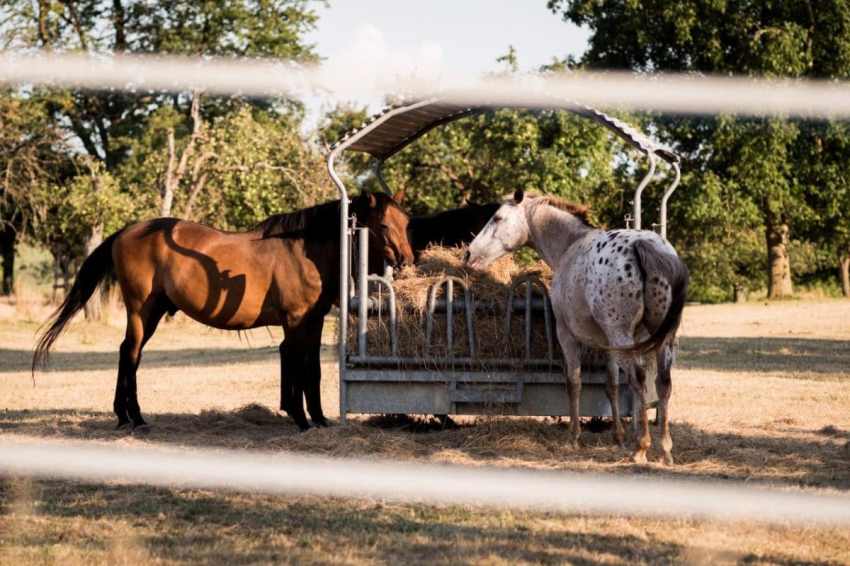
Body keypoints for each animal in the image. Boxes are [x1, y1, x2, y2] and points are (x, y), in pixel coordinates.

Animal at [32, 190, 414, 432]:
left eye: (406, 221)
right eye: (383, 225)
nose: (407, 260)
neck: (302, 250)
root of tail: (127, 231)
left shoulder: (313, 320)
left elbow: (313, 370)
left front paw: (319, 419)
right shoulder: (295, 321)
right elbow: (298, 365)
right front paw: (301, 418)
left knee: (128, 353)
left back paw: (126, 416)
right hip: (142, 311)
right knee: (130, 354)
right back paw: (134, 418)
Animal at [465, 189, 688, 464]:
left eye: (497, 218)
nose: (468, 254)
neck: (570, 246)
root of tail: (644, 245)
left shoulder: (567, 336)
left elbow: (574, 382)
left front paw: (574, 436)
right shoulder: (607, 345)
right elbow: (611, 385)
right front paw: (618, 436)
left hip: (622, 337)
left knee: (638, 380)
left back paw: (641, 447)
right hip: (661, 340)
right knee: (663, 384)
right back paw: (665, 450)